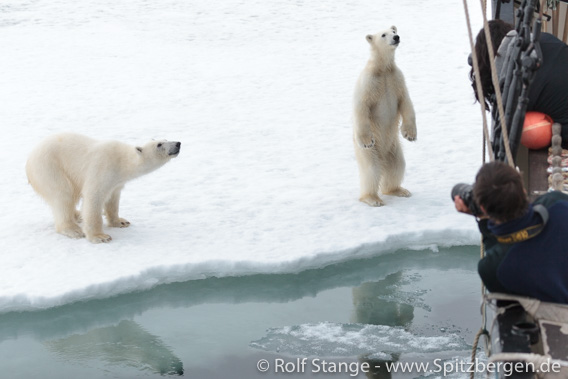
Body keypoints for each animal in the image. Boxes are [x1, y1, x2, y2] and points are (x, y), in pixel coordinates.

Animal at [350, 26, 418, 208]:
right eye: (383, 34)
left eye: (393, 30)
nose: (396, 37)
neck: (382, 69)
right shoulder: (369, 82)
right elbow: (362, 107)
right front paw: (367, 140)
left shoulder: (397, 79)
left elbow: (406, 102)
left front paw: (410, 134)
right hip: (369, 153)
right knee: (372, 170)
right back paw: (372, 198)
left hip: (393, 148)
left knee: (397, 166)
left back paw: (399, 190)